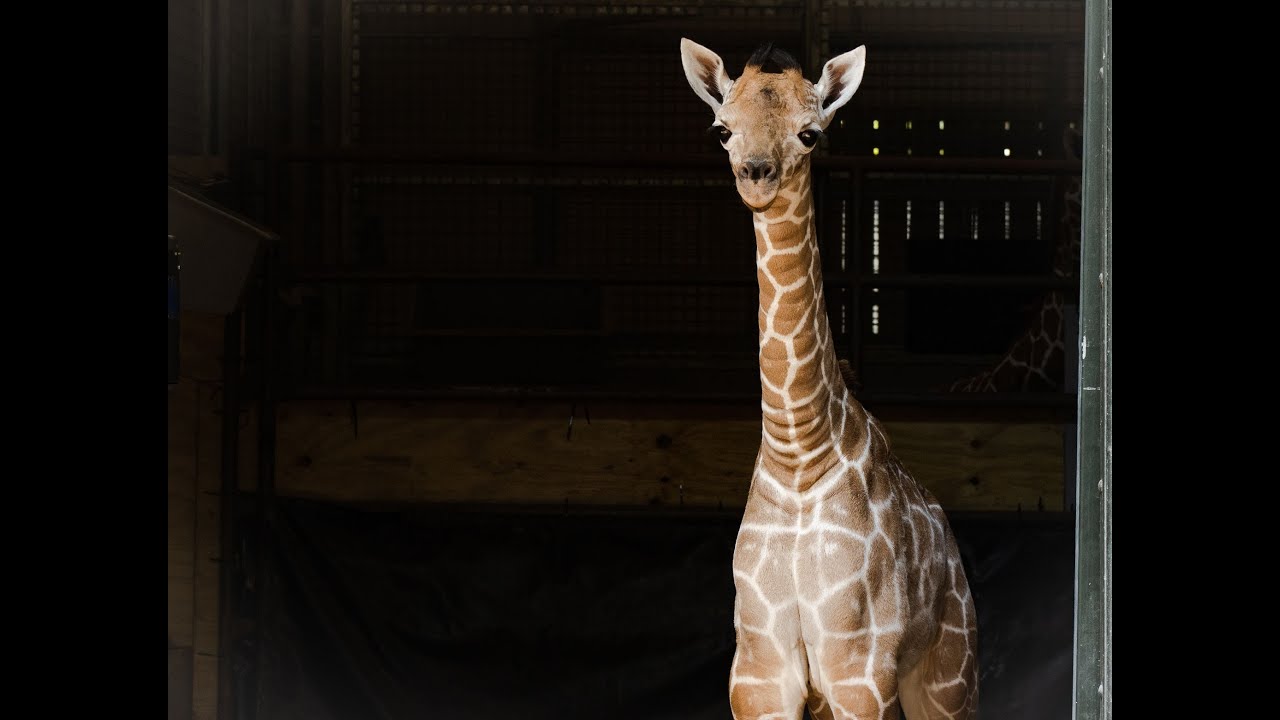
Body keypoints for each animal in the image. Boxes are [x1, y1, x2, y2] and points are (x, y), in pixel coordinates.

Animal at [679, 40, 978, 720]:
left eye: (810, 133)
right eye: (721, 128)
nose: (756, 175)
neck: (798, 450)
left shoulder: (858, 670)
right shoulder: (760, 672)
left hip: (949, 677)